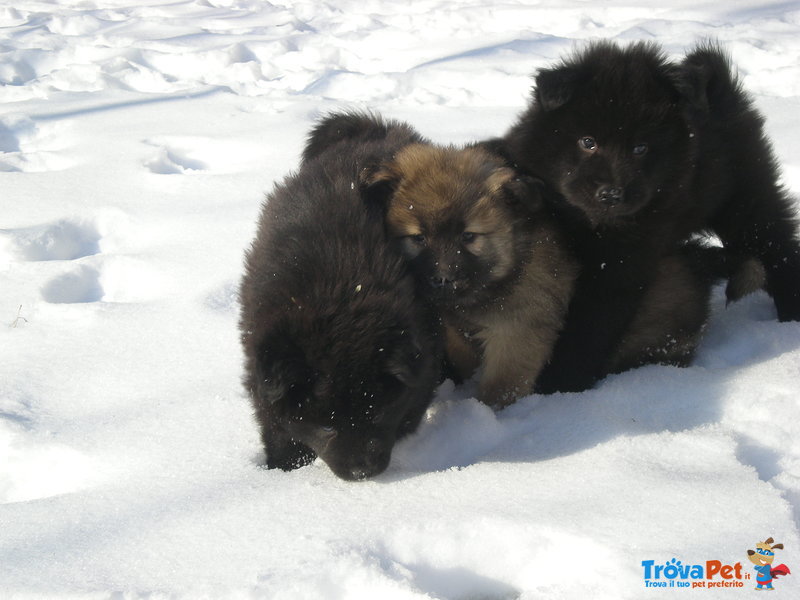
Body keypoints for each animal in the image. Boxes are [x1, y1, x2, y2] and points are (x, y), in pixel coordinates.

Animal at [241, 112, 440, 480]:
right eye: (326, 427)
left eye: (378, 413)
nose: (362, 471)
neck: (339, 294)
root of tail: (377, 130)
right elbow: (275, 422)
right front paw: (284, 466)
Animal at [366, 145, 580, 408]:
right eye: (419, 238)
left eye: (468, 236)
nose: (443, 279)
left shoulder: (518, 330)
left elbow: (502, 385)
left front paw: (489, 409)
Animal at [482, 39, 800, 392]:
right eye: (587, 141)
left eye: (640, 148)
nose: (611, 194)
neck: (587, 222)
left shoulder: (620, 266)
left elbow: (587, 331)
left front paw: (559, 388)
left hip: (747, 202)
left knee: (778, 248)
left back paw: (790, 320)